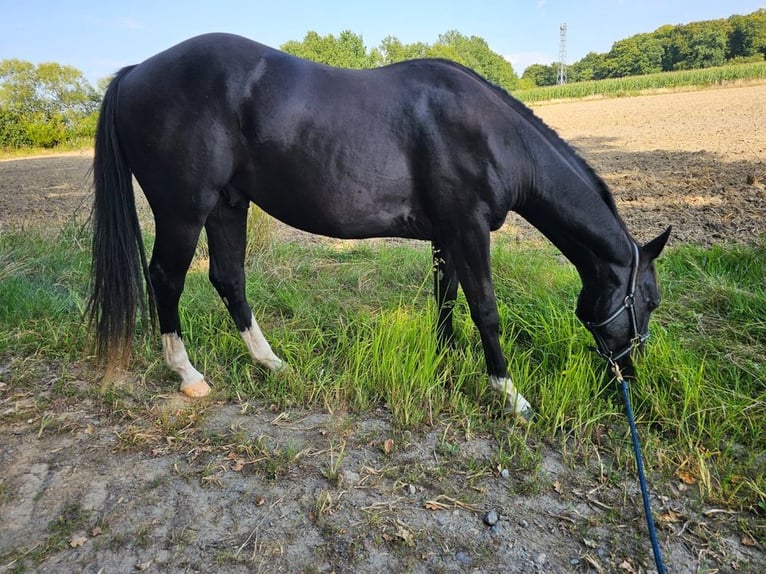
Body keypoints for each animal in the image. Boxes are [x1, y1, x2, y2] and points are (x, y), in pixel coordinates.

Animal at [88, 33, 670, 420]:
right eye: (649, 300)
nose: (631, 376)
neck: (490, 133)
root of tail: (136, 70)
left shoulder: (447, 235)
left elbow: (446, 299)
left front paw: (446, 360)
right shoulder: (469, 230)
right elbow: (485, 309)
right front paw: (508, 394)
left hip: (229, 206)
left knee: (228, 279)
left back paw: (270, 362)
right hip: (184, 212)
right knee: (166, 278)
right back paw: (188, 375)